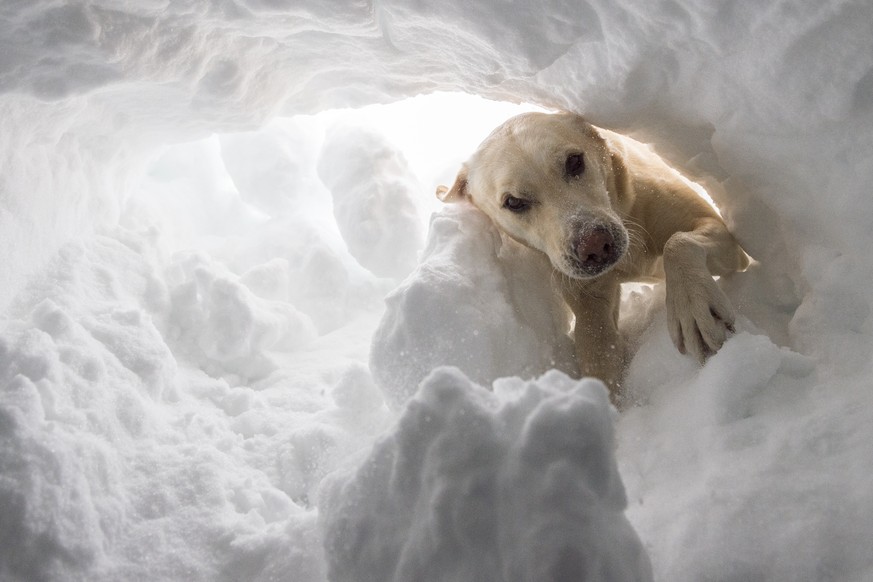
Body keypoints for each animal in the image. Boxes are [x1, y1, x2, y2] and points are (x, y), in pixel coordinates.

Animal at [436, 112, 748, 404]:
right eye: (513, 202)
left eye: (574, 162)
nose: (594, 245)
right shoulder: (589, 304)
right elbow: (597, 351)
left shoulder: (724, 237)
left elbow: (678, 242)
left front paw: (693, 309)